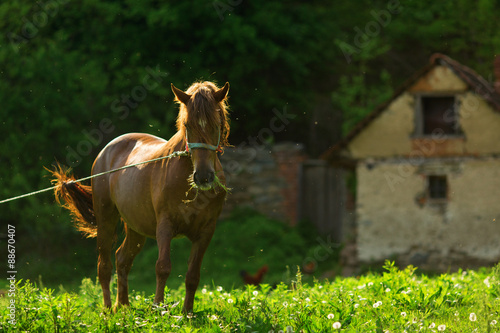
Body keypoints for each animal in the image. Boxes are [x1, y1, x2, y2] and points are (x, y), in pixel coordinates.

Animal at [50, 80, 230, 312]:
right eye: (188, 125)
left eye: (216, 124)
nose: (203, 177)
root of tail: (106, 151)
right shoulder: (165, 225)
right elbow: (163, 267)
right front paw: (158, 309)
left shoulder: (206, 231)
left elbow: (192, 276)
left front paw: (187, 313)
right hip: (106, 219)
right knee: (104, 266)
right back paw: (108, 310)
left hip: (136, 228)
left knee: (122, 259)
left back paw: (124, 307)